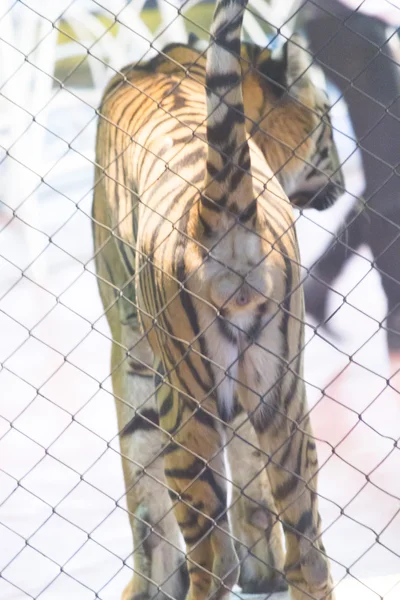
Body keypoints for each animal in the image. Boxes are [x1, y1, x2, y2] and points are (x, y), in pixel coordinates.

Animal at [92, 1, 346, 600]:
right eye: (328, 121)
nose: (347, 183)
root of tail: (222, 200)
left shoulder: (134, 350)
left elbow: (142, 488)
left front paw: (149, 584)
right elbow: (251, 486)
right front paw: (264, 570)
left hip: (187, 412)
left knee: (209, 558)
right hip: (286, 405)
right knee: (309, 557)